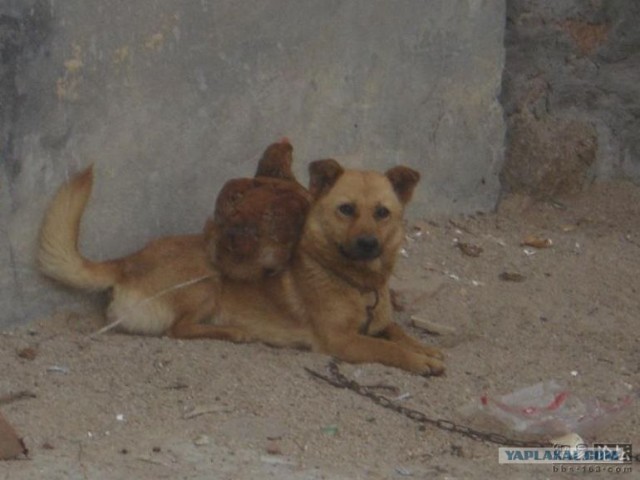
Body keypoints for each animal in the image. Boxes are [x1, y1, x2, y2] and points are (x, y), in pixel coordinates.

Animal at [37, 148, 442, 374]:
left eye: (382, 212)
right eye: (346, 209)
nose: (368, 244)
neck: (357, 283)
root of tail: (126, 261)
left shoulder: (376, 323)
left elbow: (398, 332)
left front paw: (425, 349)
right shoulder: (341, 341)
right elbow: (387, 347)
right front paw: (417, 360)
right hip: (208, 281)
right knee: (178, 329)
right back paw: (233, 331)